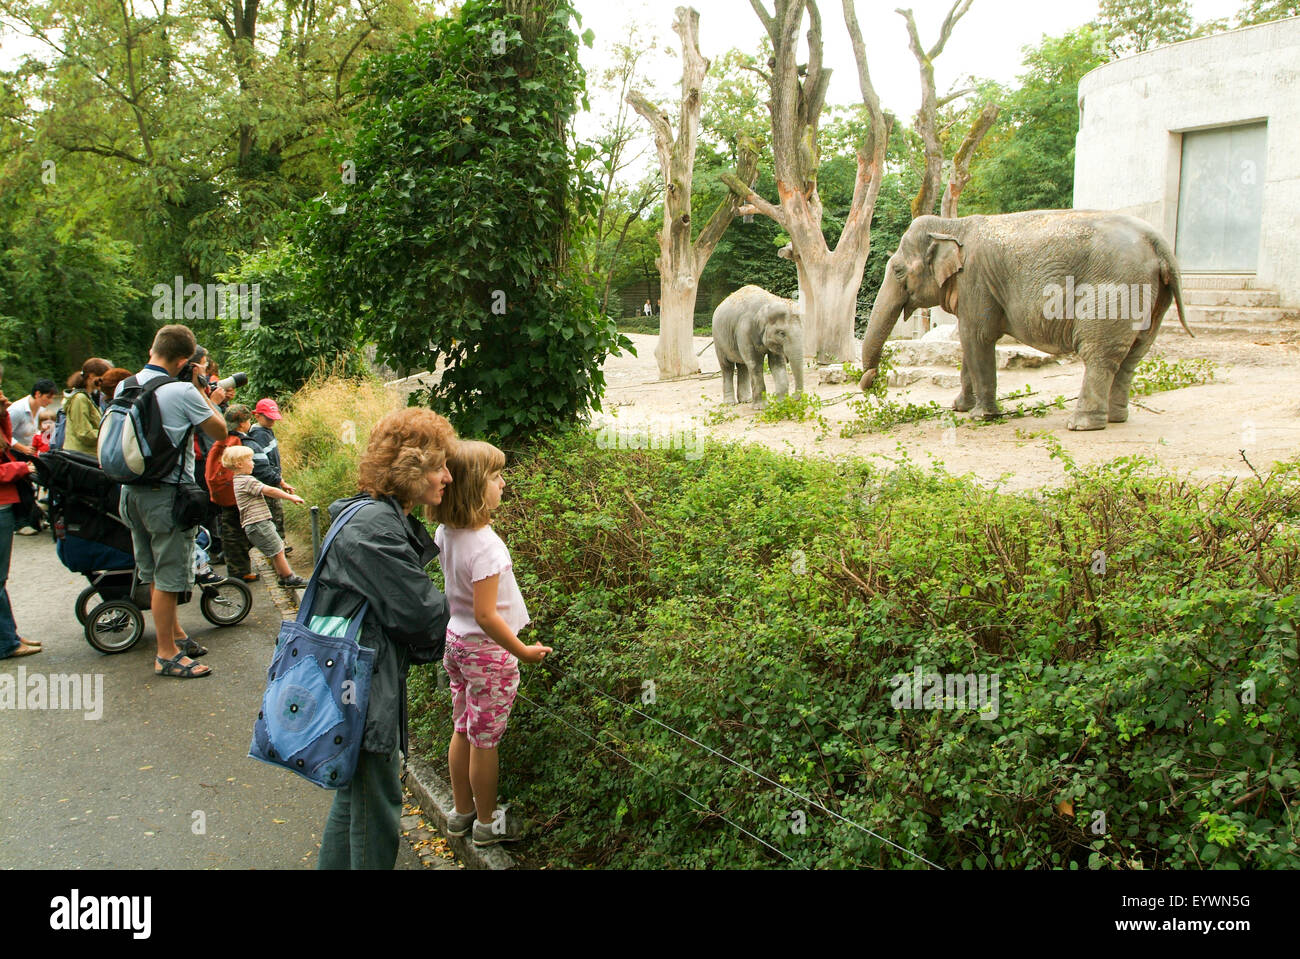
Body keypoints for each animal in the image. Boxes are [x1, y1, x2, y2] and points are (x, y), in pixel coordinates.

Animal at [857, 214, 1190, 434]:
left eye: (898, 271)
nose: (870, 380)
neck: (953, 224)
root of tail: (1158, 243)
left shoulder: (975, 281)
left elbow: (977, 338)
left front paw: (981, 416)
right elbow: (968, 344)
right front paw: (959, 407)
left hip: (1113, 290)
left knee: (1099, 354)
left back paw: (1081, 425)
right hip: (1153, 296)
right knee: (1134, 354)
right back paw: (1116, 419)